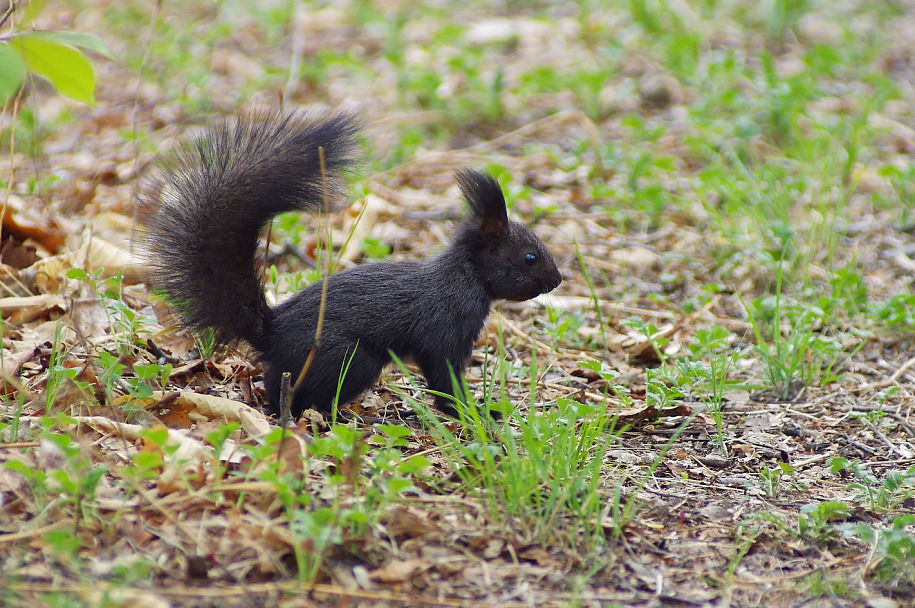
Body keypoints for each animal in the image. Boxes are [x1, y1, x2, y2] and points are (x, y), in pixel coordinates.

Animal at [140, 108, 560, 418]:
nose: (556, 280)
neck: (463, 277)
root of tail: (271, 332)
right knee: (291, 392)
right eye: (530, 257)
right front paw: (473, 412)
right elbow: (445, 377)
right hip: (350, 360)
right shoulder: (445, 327)